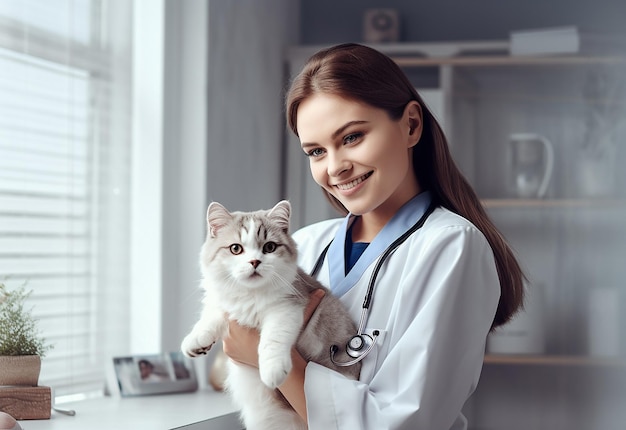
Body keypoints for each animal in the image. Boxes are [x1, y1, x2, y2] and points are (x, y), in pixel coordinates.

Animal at [179, 200, 360, 428]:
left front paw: (273, 370)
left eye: (269, 247)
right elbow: (211, 317)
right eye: (236, 249)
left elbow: (272, 341)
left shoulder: (286, 308)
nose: (255, 262)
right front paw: (195, 341)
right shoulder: (226, 304)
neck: (249, 294)